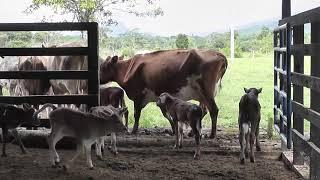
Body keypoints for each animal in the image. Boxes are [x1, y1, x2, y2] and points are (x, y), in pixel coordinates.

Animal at [100, 48, 228, 138]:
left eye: (102, 67)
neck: (127, 68)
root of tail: (218, 54)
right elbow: (166, 115)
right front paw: (173, 130)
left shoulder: (138, 95)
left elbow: (137, 114)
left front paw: (134, 131)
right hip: (202, 95)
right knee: (204, 110)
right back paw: (192, 133)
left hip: (207, 91)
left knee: (214, 110)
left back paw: (212, 135)